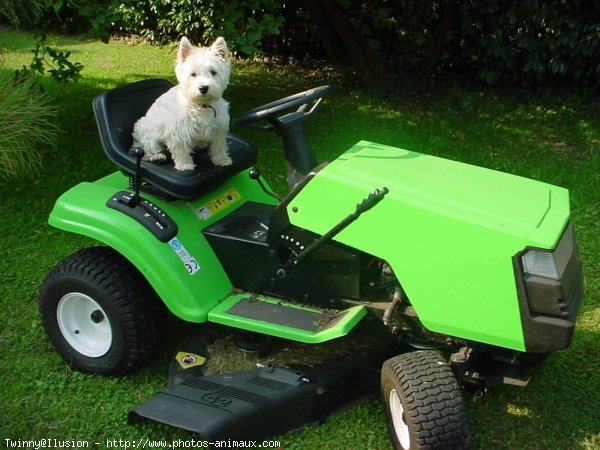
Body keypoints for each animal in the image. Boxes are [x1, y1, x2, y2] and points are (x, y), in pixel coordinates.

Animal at [131, 36, 232, 171]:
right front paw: (185, 165)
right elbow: (181, 149)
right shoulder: (178, 131)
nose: (203, 88)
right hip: (147, 130)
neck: (201, 105)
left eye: (213, 72)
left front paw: (222, 160)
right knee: (146, 148)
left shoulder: (219, 127)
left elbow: (219, 146)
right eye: (193, 74)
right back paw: (156, 156)